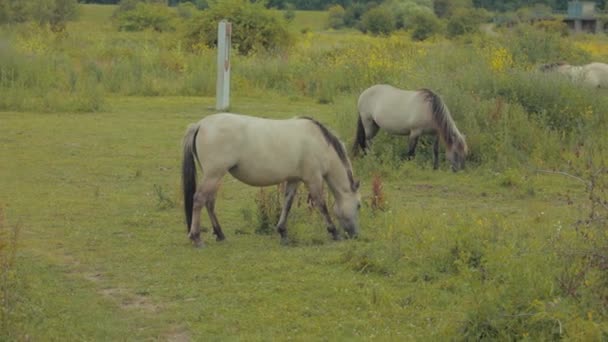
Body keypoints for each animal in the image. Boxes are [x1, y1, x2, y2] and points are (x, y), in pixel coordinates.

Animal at [180, 113, 360, 247]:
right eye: (358, 205)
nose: (355, 234)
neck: (319, 142)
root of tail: (200, 125)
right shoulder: (313, 179)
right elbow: (321, 204)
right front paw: (334, 232)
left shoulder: (294, 179)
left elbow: (287, 204)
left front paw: (283, 232)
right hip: (214, 175)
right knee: (199, 200)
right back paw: (196, 238)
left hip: (215, 176)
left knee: (209, 202)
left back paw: (220, 234)